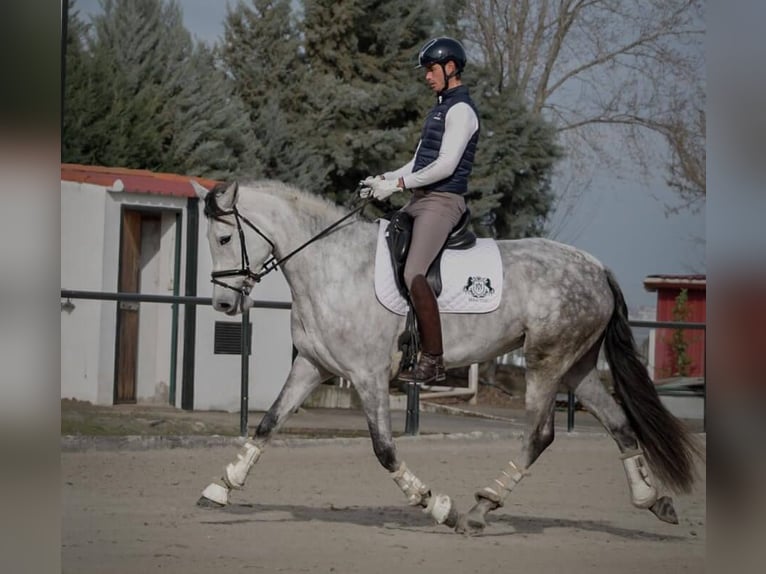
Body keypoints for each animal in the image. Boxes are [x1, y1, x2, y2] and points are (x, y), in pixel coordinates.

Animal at [190, 179, 701, 535]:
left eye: (223, 239)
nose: (224, 305)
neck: (330, 267)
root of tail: (596, 267)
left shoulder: (368, 375)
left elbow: (384, 450)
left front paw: (438, 506)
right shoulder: (312, 367)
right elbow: (267, 424)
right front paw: (219, 487)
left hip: (546, 362)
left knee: (539, 435)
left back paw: (478, 509)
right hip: (576, 367)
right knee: (619, 425)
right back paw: (652, 500)